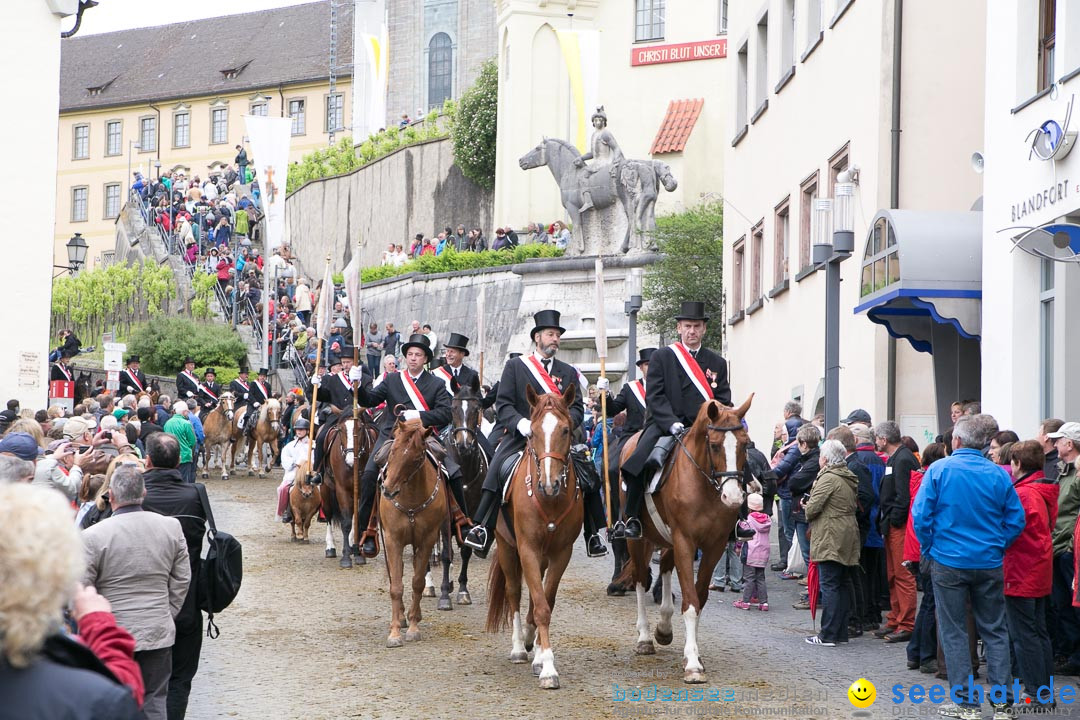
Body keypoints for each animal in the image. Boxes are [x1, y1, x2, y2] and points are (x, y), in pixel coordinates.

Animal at [319, 410, 380, 569]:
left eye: (360, 428)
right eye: (340, 430)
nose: (350, 460)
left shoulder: (363, 491)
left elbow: (359, 518)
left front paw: (358, 553)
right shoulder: (342, 490)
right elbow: (346, 522)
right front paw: (346, 557)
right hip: (325, 490)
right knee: (328, 515)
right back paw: (330, 547)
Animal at [380, 416, 451, 647]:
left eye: (416, 457)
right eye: (393, 450)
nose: (388, 489)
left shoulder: (427, 540)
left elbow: (418, 582)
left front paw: (413, 627)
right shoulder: (393, 540)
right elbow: (396, 586)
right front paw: (394, 632)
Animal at [483, 386, 578, 690]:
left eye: (565, 430)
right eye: (533, 432)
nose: (549, 485)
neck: (549, 502)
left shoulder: (561, 553)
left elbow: (546, 601)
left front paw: (540, 656)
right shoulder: (527, 549)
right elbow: (539, 606)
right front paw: (548, 668)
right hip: (506, 546)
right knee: (514, 592)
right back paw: (517, 648)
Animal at [622, 397, 756, 686]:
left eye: (745, 444)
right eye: (714, 445)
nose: (733, 498)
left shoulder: (715, 545)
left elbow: (699, 596)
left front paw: (692, 654)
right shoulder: (685, 540)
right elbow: (691, 602)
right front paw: (693, 664)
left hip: (667, 539)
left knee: (665, 568)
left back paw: (664, 627)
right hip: (638, 539)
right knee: (639, 579)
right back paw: (645, 637)